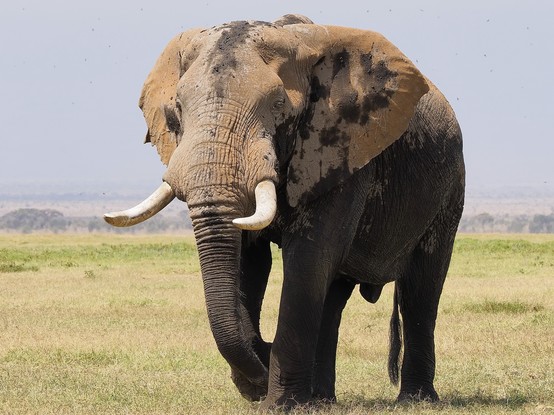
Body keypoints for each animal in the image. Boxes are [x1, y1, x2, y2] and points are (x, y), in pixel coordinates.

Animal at [102, 14, 462, 412]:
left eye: (278, 105)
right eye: (176, 109)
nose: (261, 367)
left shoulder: (339, 151)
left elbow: (308, 258)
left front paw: (278, 402)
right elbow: (250, 263)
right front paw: (264, 380)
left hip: (449, 189)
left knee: (421, 288)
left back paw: (415, 399)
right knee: (333, 295)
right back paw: (321, 399)